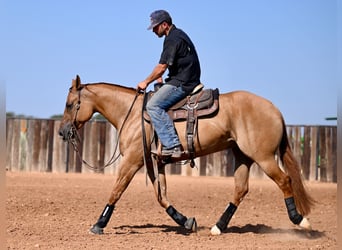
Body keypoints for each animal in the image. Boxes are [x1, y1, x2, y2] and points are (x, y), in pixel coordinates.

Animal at [57, 75, 314, 235]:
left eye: (70, 104)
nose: (61, 132)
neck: (132, 115)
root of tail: (275, 109)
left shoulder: (132, 161)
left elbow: (116, 190)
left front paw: (99, 224)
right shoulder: (156, 163)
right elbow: (161, 196)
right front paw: (186, 221)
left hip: (264, 157)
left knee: (284, 180)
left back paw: (300, 220)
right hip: (243, 156)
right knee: (241, 189)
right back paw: (218, 227)